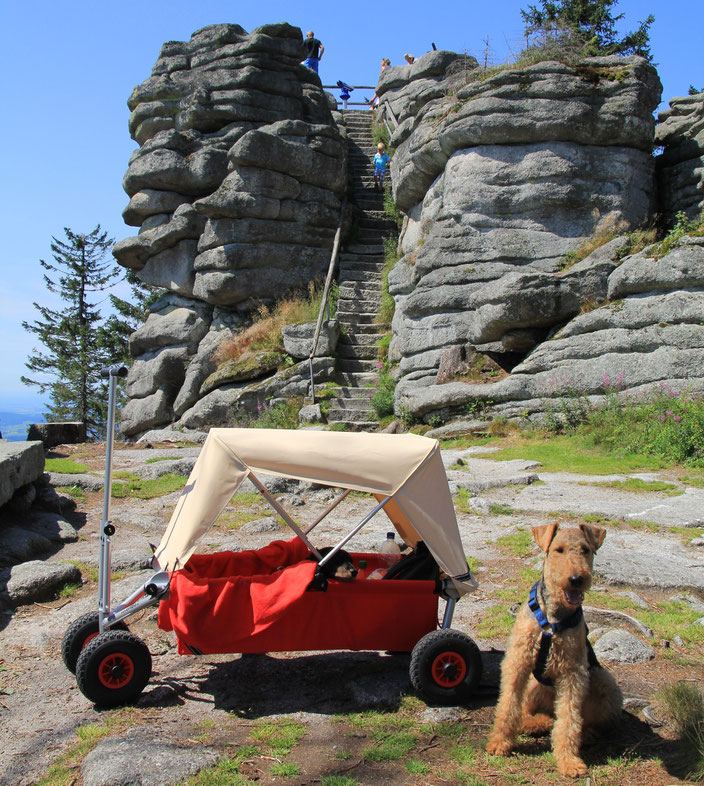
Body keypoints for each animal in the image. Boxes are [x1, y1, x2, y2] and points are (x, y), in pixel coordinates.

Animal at [486, 524, 624, 776]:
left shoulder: (573, 672)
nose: (576, 579)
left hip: (603, 680)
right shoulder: (518, 661)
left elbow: (569, 718)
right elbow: (508, 704)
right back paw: (530, 724)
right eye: (559, 550)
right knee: (535, 714)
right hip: (534, 684)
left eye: (585, 550)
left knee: (581, 721)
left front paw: (569, 761)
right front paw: (499, 743)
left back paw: (584, 734)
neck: (552, 620)